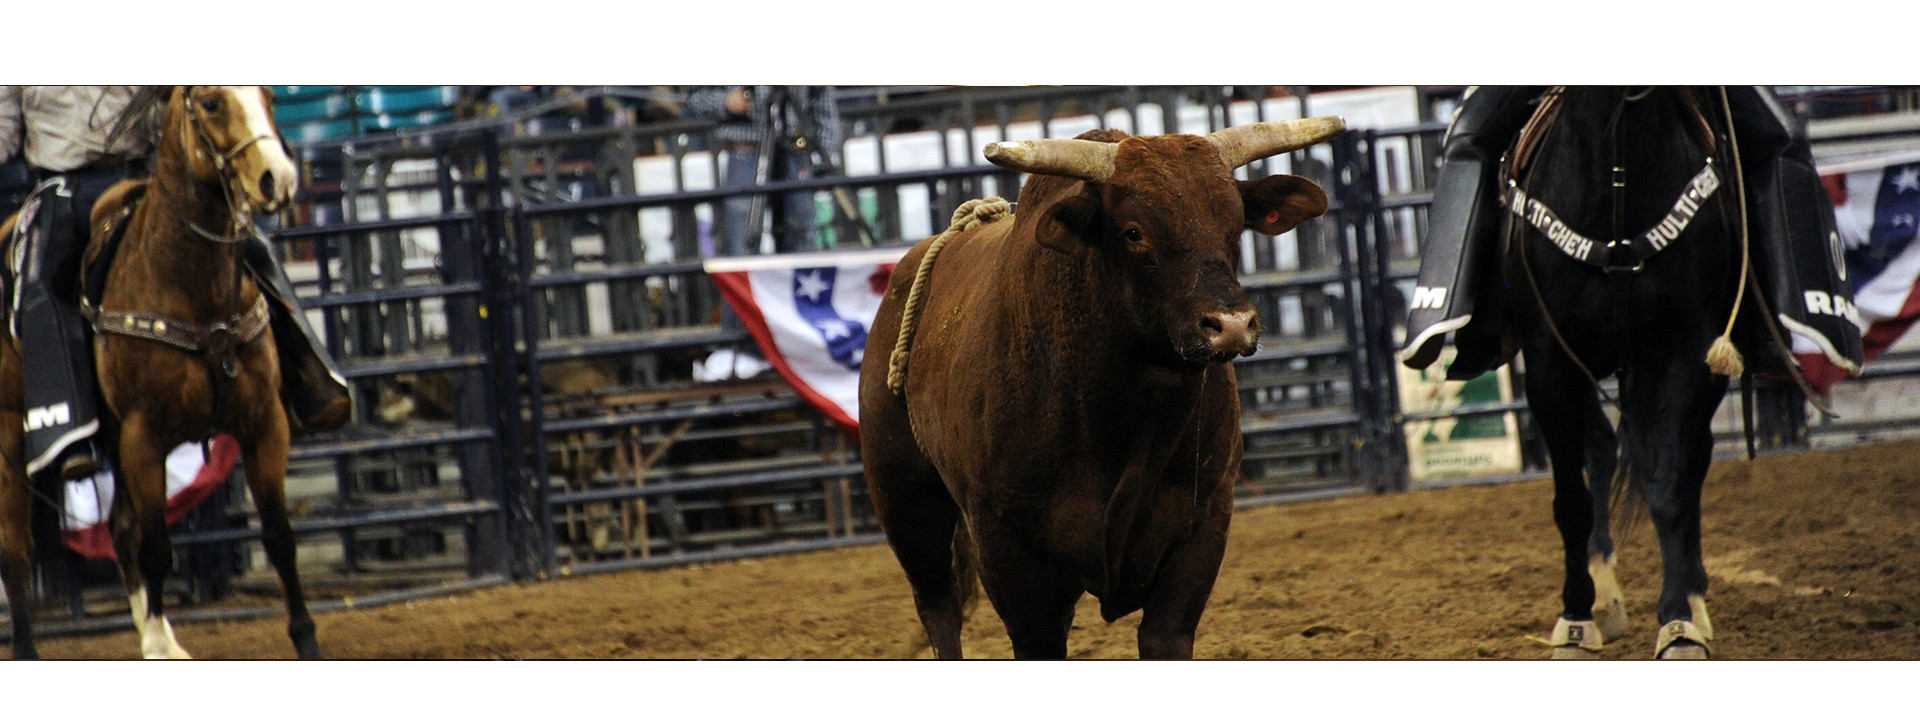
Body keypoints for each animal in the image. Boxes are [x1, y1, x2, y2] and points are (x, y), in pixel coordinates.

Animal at [859, 117, 1345, 658]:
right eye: (1134, 232)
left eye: (1236, 223)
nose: (1232, 325)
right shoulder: (1007, 551)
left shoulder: (1202, 530)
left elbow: (1164, 635)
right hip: (903, 496)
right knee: (938, 606)